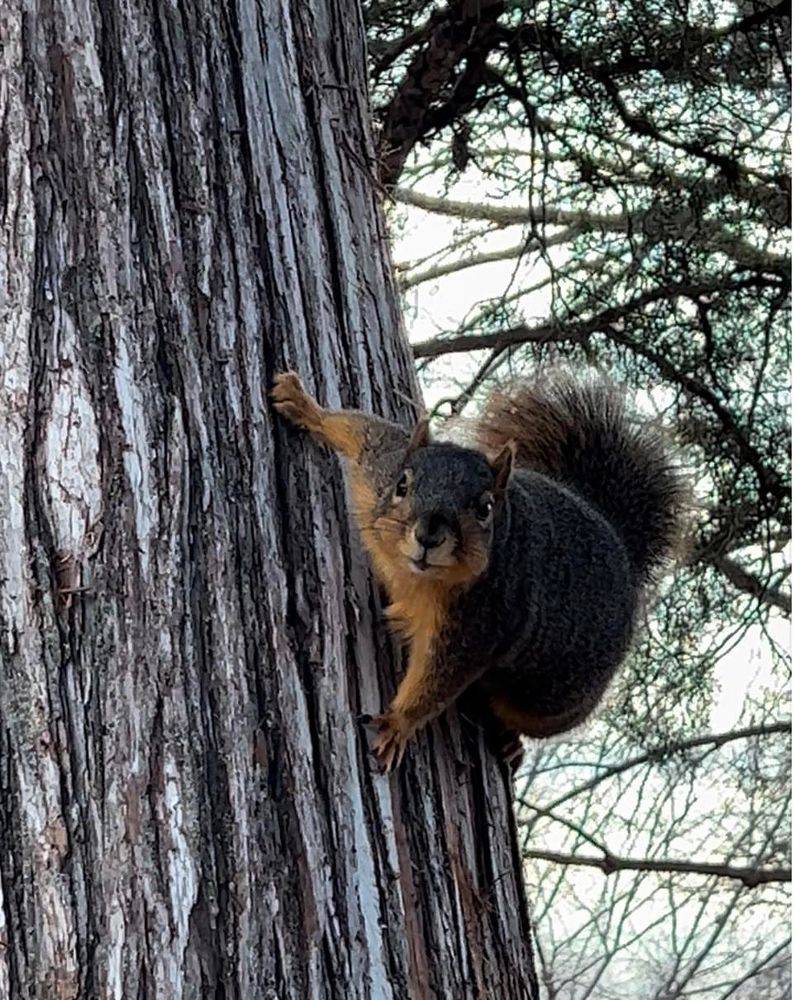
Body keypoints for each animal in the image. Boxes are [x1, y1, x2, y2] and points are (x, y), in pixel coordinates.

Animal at [271, 368, 688, 773]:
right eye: (402, 484)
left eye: (486, 508)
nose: (427, 535)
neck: (417, 577)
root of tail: (619, 543)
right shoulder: (381, 463)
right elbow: (362, 428)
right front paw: (304, 404)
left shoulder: (477, 627)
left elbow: (435, 683)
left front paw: (397, 724)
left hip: (556, 698)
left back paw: (512, 744)